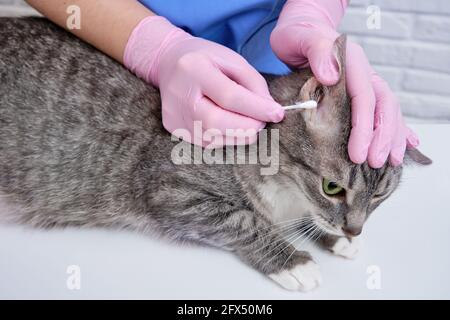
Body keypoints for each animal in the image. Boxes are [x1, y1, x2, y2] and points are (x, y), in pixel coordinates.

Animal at [0, 18, 428, 292]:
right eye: (332, 187)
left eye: (379, 196)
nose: (354, 229)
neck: (286, 190)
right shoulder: (171, 188)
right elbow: (244, 220)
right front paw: (293, 259)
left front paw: (331, 237)